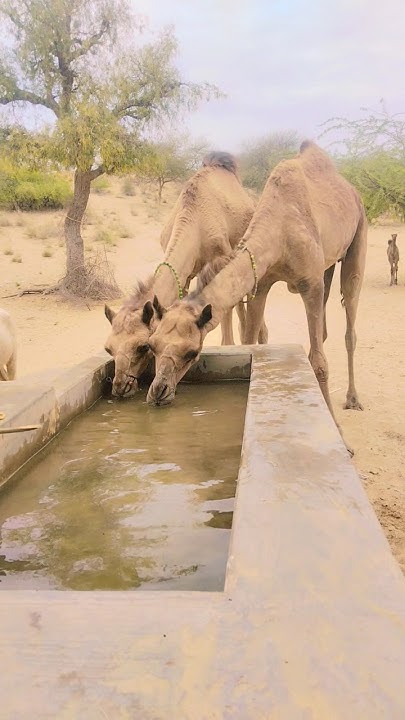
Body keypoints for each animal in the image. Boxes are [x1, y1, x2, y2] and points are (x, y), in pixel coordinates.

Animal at [104, 151, 267, 397]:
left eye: (142, 346)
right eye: (108, 349)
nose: (121, 386)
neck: (194, 222)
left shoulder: (221, 257)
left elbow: (224, 315)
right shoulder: (186, 274)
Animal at [145, 141, 368, 452]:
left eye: (192, 352)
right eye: (152, 345)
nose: (158, 390)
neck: (279, 230)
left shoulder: (310, 283)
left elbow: (320, 363)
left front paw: (339, 437)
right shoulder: (261, 283)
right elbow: (250, 340)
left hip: (358, 234)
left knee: (350, 316)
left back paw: (353, 399)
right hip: (326, 267)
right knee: (322, 331)